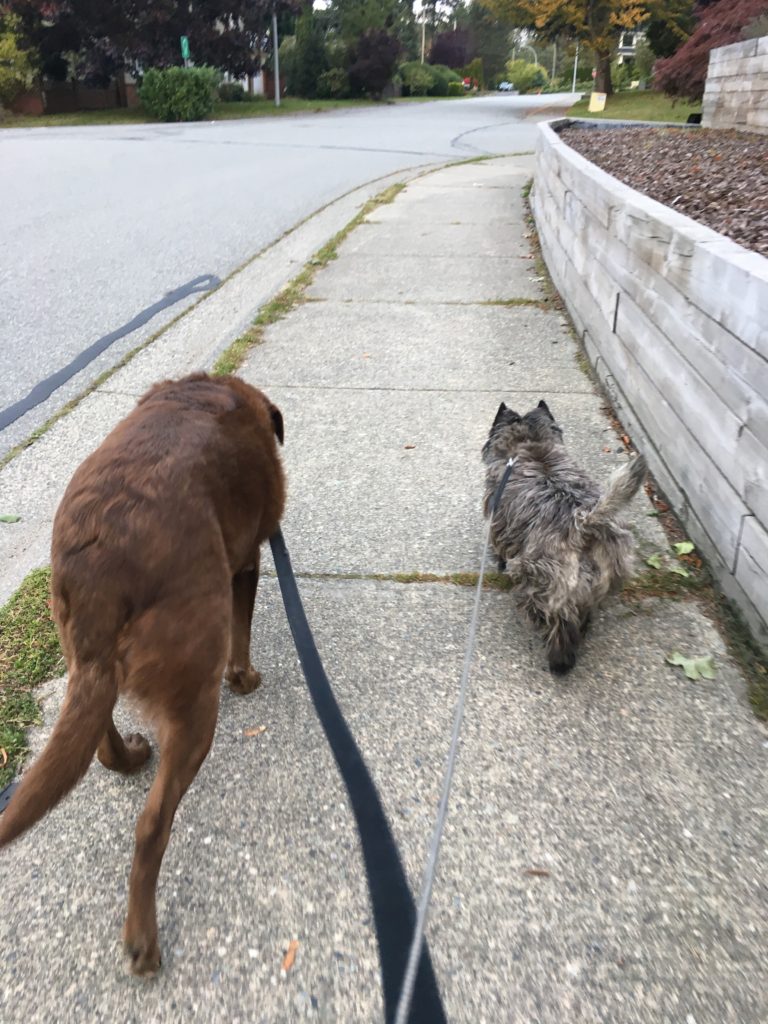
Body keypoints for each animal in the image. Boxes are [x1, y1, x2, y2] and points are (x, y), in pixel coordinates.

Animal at [0, 374, 286, 974]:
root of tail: (102, 568)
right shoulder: (248, 560)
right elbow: (243, 632)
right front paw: (246, 678)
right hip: (194, 692)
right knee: (152, 825)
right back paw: (143, 943)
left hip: (85, 656)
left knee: (101, 741)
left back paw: (130, 757)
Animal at [483, 403, 647, 675]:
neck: (530, 444)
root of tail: (584, 524)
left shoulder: (498, 522)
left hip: (544, 580)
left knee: (558, 620)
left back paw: (558, 660)